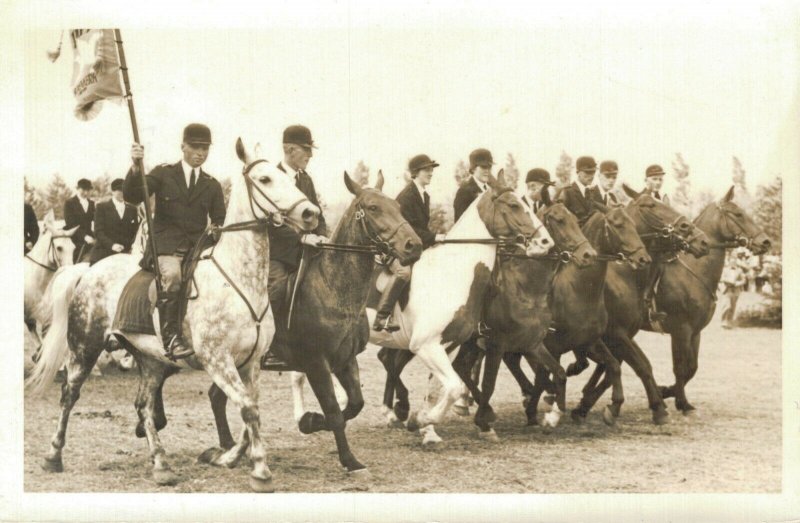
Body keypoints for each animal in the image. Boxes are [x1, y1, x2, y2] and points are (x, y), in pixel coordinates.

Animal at [28, 137, 322, 494]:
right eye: (265, 179)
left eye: (289, 178)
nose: (310, 213)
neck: (239, 282)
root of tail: (89, 270)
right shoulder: (217, 361)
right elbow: (248, 409)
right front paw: (260, 471)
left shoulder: (250, 363)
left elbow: (250, 411)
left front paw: (228, 457)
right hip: (85, 346)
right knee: (70, 394)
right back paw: (53, 456)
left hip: (151, 358)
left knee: (144, 405)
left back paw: (161, 464)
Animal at [205, 173, 424, 478]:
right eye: (373, 208)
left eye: (398, 206)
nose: (413, 245)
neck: (332, 287)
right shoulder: (316, 363)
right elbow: (334, 411)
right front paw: (349, 459)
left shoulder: (345, 360)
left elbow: (354, 405)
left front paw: (310, 420)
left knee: (217, 396)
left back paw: (228, 447)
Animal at [290, 174, 552, 444]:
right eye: (513, 205)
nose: (546, 242)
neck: (452, 273)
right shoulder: (426, 346)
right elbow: (454, 387)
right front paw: (419, 420)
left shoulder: (447, 345)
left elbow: (438, 389)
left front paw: (428, 431)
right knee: (299, 374)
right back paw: (306, 415)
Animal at [506, 204, 648, 426]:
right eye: (617, 224)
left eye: (633, 224)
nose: (644, 258)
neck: (579, 291)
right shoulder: (550, 345)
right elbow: (550, 374)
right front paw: (549, 410)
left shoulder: (590, 341)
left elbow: (613, 366)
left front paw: (612, 407)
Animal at [648, 187, 772, 414]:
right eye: (738, 214)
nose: (765, 242)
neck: (692, 272)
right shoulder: (681, 330)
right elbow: (680, 367)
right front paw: (681, 402)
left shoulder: (695, 332)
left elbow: (692, 368)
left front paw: (666, 391)